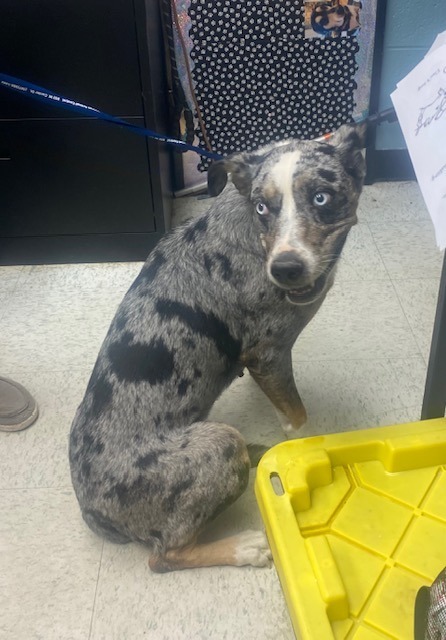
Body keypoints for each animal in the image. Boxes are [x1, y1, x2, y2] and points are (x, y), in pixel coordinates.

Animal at [69, 122, 366, 572]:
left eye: (321, 198)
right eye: (262, 207)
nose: (285, 269)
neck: (256, 238)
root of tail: (91, 509)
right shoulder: (269, 354)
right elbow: (297, 417)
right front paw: (302, 451)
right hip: (218, 445)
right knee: (165, 556)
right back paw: (243, 547)